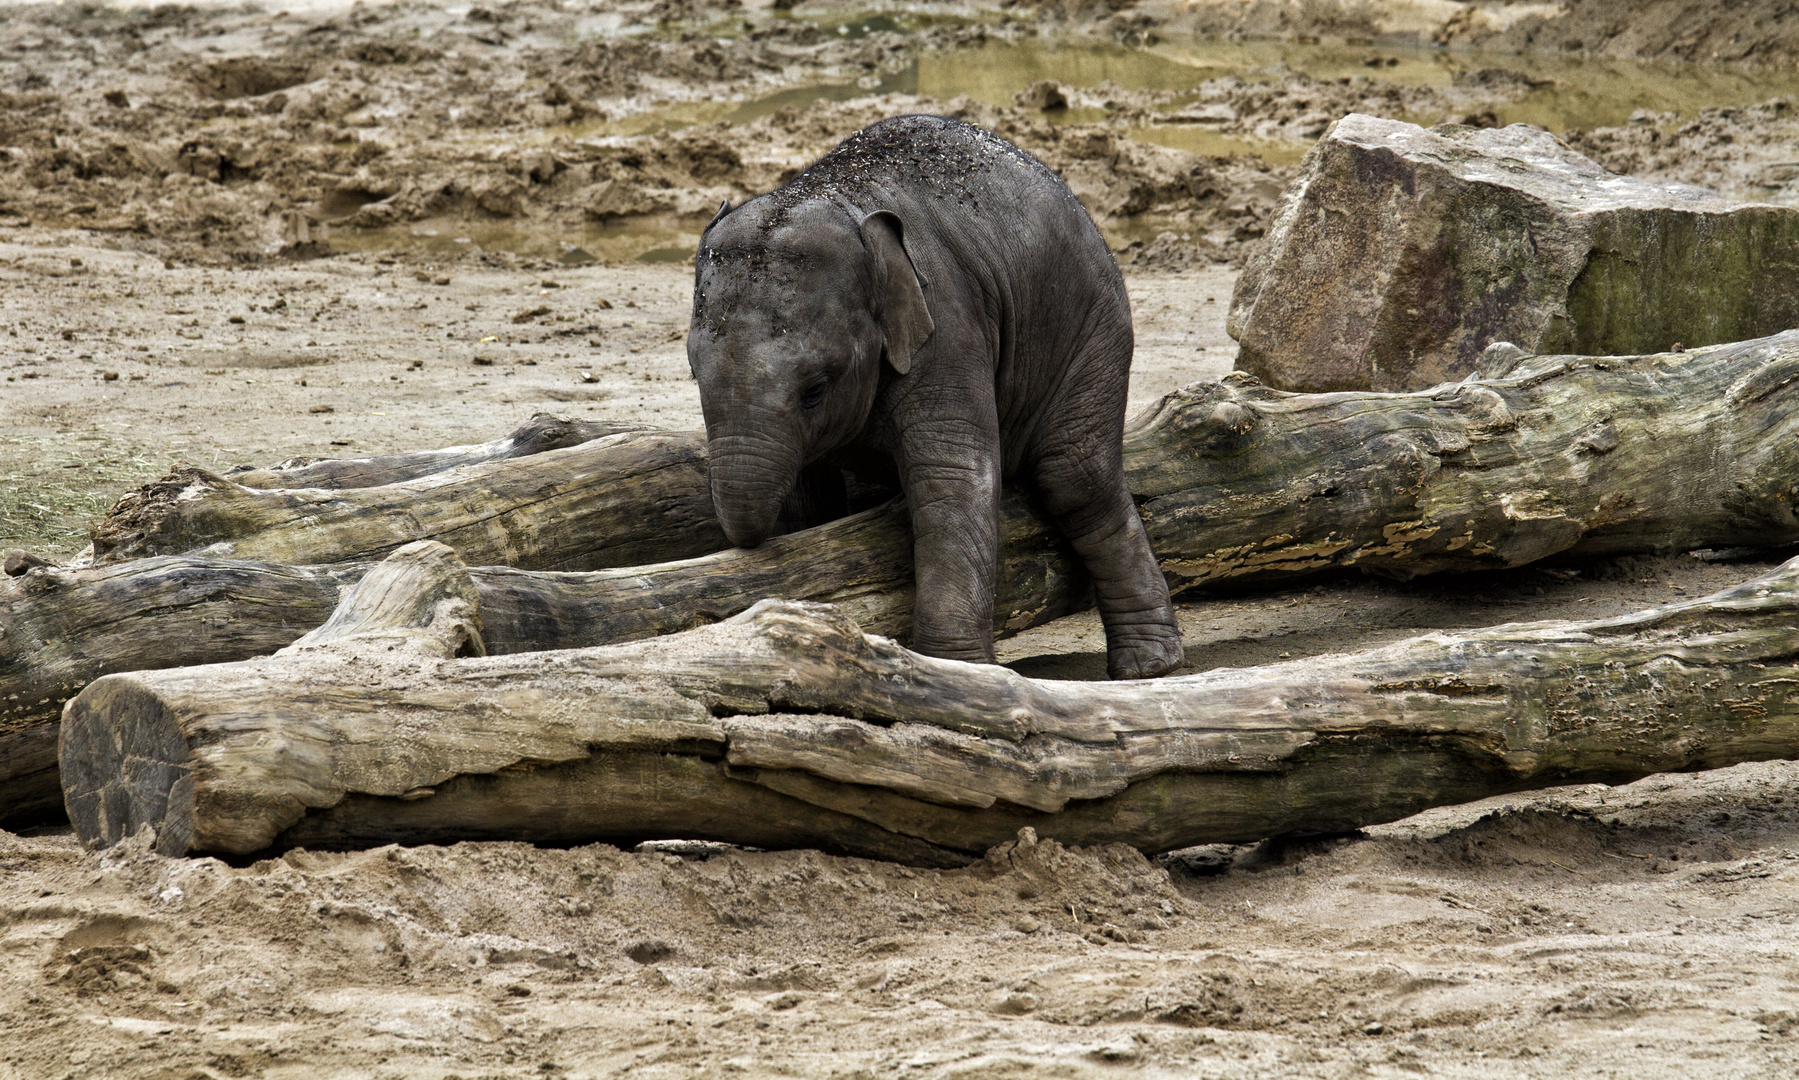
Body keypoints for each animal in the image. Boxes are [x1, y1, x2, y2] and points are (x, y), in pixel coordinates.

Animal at [687, 113, 1180, 680]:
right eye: (693, 373)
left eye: (815, 388)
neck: (838, 201)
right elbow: (806, 495)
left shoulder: (946, 323)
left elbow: (953, 473)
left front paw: (958, 672)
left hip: (1094, 332)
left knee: (1074, 476)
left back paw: (1148, 667)